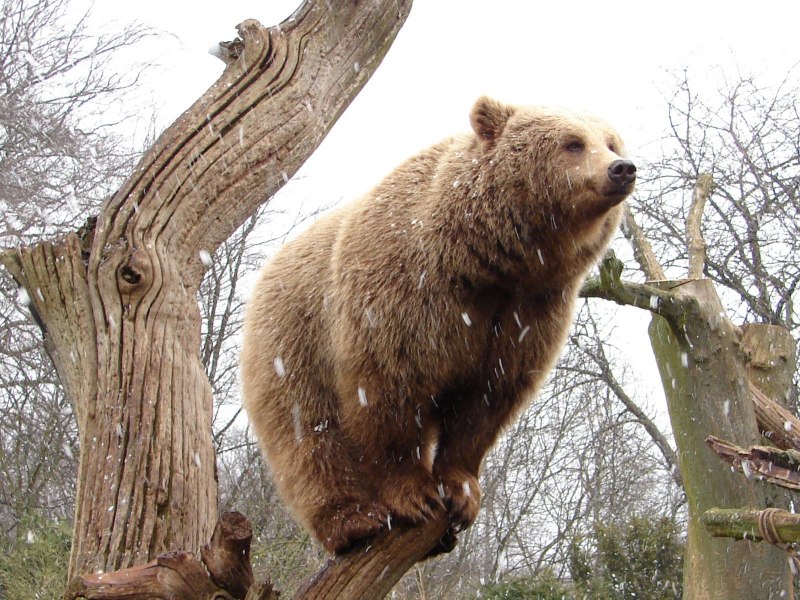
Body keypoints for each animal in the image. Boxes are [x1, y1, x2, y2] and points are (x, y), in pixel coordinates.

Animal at [240, 96, 636, 554]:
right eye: (573, 143)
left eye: (610, 140)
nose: (622, 167)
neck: (488, 263)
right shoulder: (404, 295)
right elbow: (387, 388)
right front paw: (415, 494)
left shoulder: (528, 314)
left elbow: (487, 400)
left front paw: (461, 489)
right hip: (293, 338)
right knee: (307, 431)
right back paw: (352, 519)